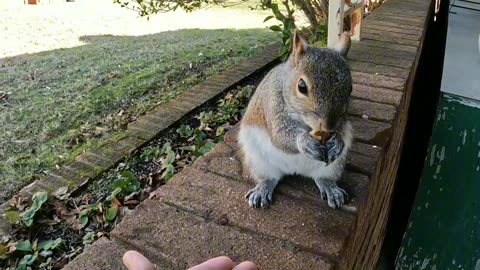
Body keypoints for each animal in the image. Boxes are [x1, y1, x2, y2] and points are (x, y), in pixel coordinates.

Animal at [239, 31, 352, 209]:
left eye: (350, 89)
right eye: (301, 86)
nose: (328, 126)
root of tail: (294, 170)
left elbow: (341, 130)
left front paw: (338, 141)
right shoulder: (273, 104)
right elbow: (279, 135)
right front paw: (304, 142)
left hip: (334, 166)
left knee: (323, 177)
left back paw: (330, 188)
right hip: (258, 160)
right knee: (269, 177)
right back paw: (262, 189)